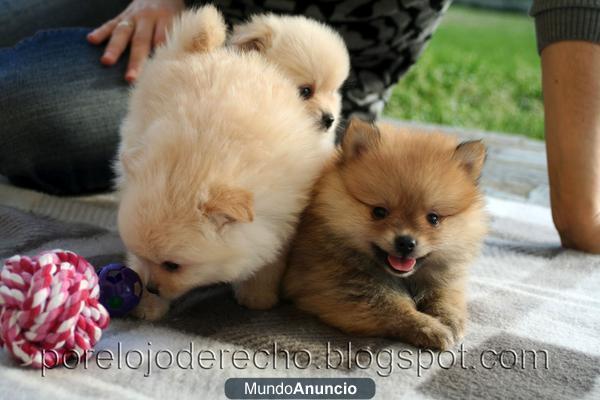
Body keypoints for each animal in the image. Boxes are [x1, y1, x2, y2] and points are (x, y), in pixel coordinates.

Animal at [115, 5, 336, 318]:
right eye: (145, 258)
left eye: (172, 266)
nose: (152, 287)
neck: (195, 163)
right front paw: (147, 305)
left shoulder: (281, 213)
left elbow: (269, 257)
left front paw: (257, 294)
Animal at [282, 119, 488, 350]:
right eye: (379, 212)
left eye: (433, 218)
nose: (406, 242)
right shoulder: (332, 287)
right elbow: (393, 307)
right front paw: (429, 328)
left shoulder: (445, 277)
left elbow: (447, 296)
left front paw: (449, 319)